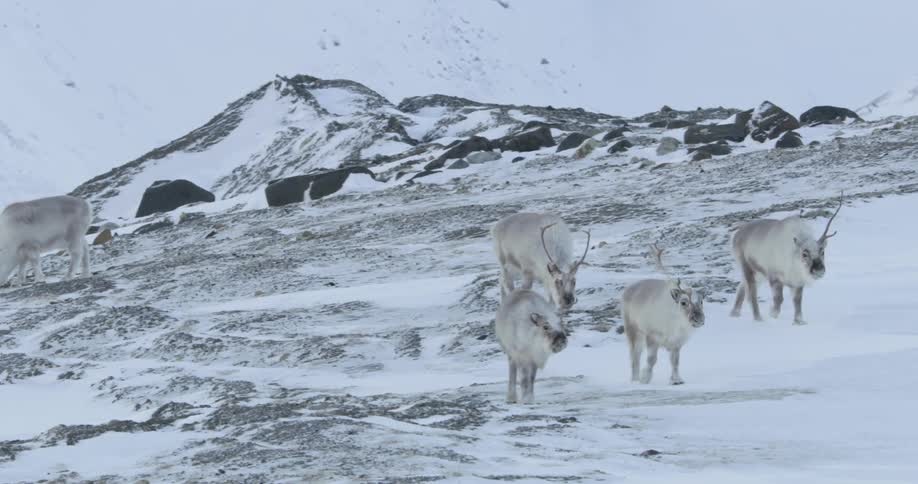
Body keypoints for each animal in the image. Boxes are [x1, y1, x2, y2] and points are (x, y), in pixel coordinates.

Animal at [622, 242, 705, 385]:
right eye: (683, 302)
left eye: (701, 301)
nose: (699, 319)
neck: (676, 323)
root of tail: (627, 290)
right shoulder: (652, 335)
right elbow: (651, 360)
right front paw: (645, 378)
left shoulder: (677, 342)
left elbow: (675, 361)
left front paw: (676, 380)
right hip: (633, 330)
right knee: (635, 357)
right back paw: (635, 379)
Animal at [729, 194, 843, 325]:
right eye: (804, 253)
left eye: (822, 251)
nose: (818, 270)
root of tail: (738, 233)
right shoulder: (775, 277)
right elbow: (779, 300)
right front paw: (772, 315)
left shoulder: (798, 282)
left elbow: (797, 301)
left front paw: (799, 321)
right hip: (747, 267)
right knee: (752, 293)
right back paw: (758, 319)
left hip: (759, 274)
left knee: (741, 288)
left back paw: (734, 314)